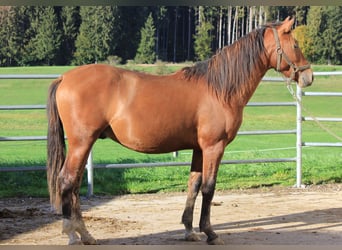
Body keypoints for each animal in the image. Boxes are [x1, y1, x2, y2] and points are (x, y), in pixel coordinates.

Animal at [47, 17, 312, 244]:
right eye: (295, 44)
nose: (308, 76)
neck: (219, 89)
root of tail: (64, 77)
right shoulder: (214, 147)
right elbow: (209, 187)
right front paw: (210, 233)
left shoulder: (198, 149)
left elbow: (193, 185)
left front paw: (189, 230)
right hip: (82, 142)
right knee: (67, 181)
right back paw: (72, 234)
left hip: (84, 144)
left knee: (75, 184)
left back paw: (86, 234)